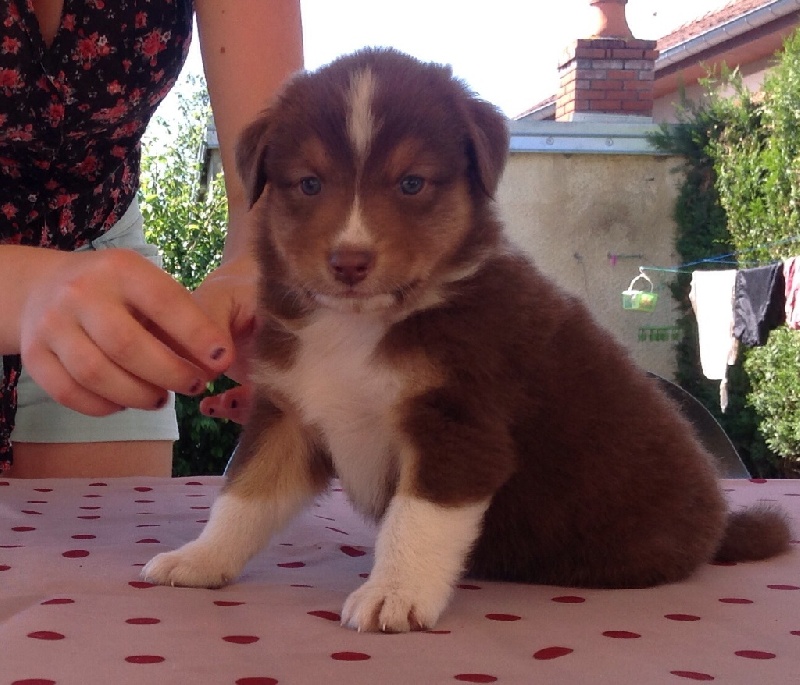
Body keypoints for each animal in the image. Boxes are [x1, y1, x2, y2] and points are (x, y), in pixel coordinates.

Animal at [143, 48, 791, 633]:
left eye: (411, 183)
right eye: (308, 183)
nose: (349, 261)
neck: (360, 324)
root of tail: (718, 526)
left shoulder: (458, 423)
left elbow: (416, 520)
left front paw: (394, 595)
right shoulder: (292, 414)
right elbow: (243, 497)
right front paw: (197, 559)